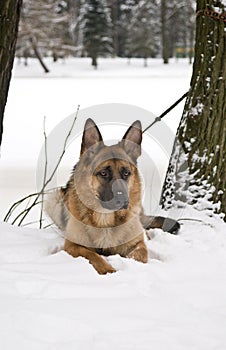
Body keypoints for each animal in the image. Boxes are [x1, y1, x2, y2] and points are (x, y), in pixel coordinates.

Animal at [46, 119, 180, 274]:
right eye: (103, 173)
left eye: (126, 173)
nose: (122, 200)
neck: (105, 220)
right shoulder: (73, 245)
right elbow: (93, 255)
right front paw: (109, 271)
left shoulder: (137, 244)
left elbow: (139, 254)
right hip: (53, 199)